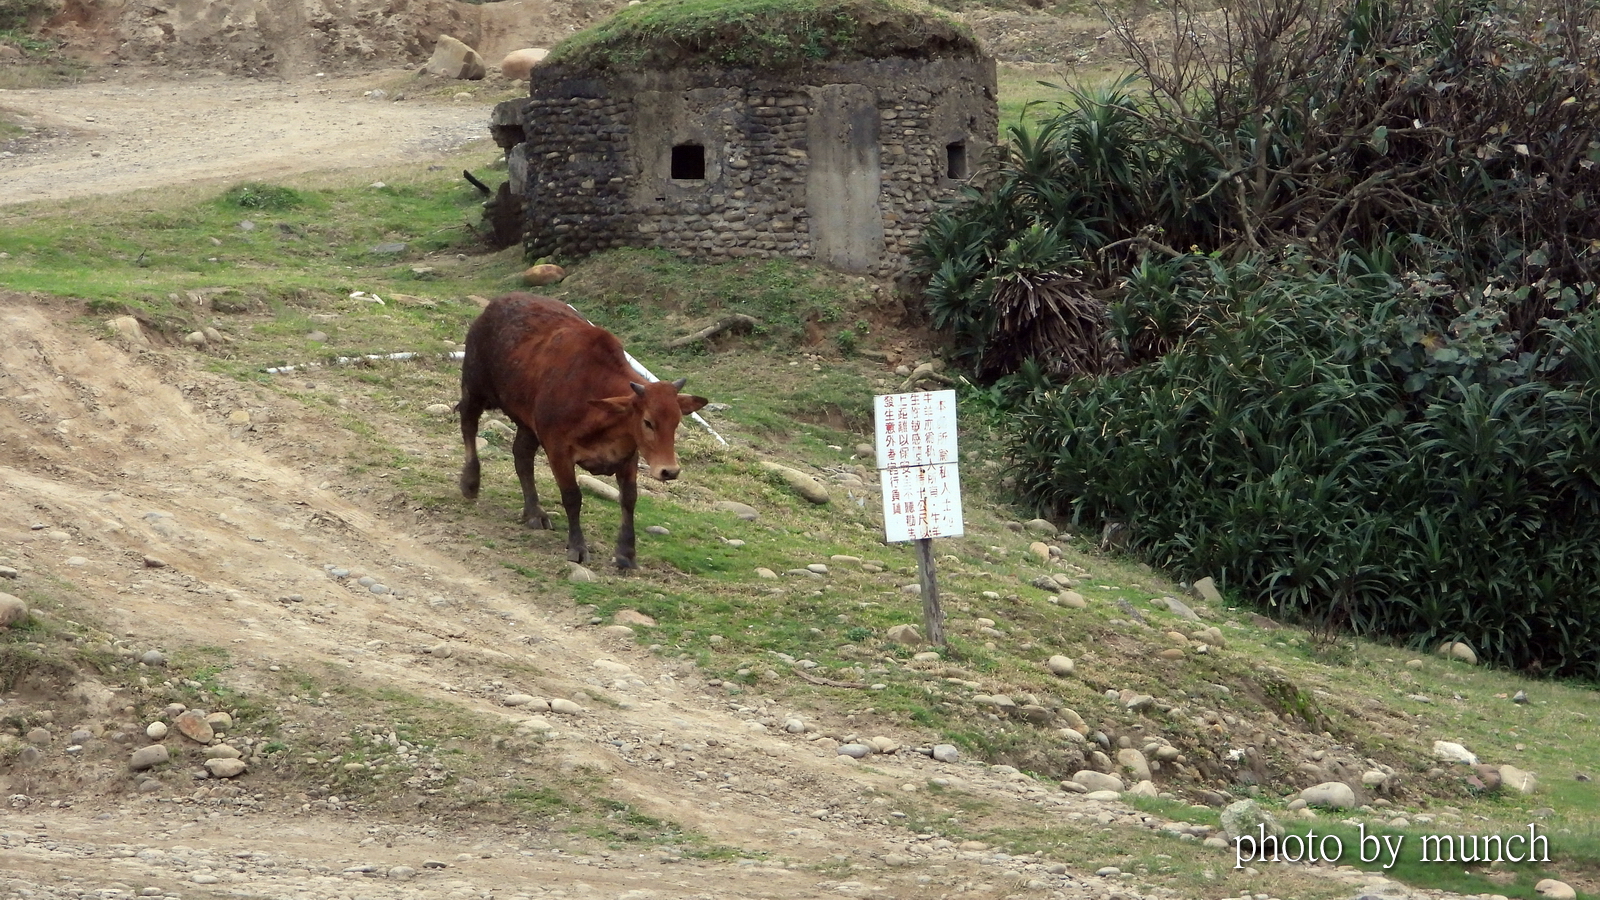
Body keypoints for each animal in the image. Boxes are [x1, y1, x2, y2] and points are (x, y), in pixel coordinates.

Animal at [456, 293, 709, 570]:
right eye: (648, 422)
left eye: (676, 421)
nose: (669, 471)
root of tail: (496, 304)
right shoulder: (558, 450)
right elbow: (572, 497)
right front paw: (577, 547)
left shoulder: (628, 456)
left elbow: (629, 499)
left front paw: (626, 554)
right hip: (475, 387)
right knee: (468, 424)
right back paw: (470, 482)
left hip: (527, 423)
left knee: (521, 456)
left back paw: (534, 512)